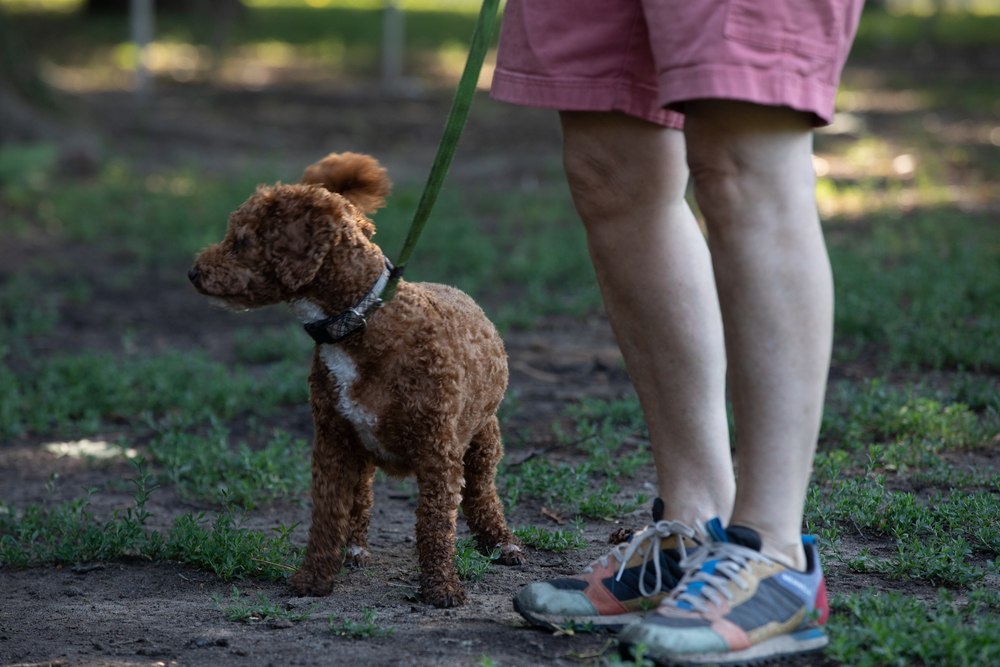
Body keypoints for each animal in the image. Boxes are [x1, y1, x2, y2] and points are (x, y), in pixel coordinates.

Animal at [190, 154, 528, 608]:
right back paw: (354, 549)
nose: (193, 272)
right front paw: (314, 578)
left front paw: (441, 586)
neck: (358, 322)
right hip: (362, 449)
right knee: (362, 500)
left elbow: (435, 524)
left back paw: (501, 543)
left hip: (482, 437)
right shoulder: (332, 442)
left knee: (481, 492)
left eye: (241, 241)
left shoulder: (437, 450)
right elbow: (328, 516)